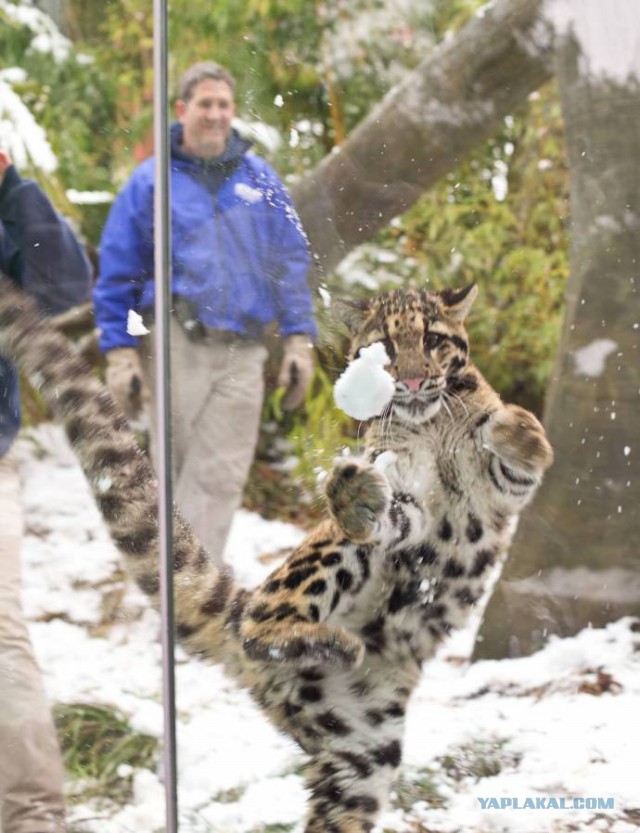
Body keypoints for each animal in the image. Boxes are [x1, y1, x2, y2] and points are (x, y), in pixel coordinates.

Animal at [0, 278, 552, 832]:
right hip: (323, 571)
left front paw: (514, 428)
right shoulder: (404, 487)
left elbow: (522, 453)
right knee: (263, 622)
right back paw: (331, 630)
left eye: (433, 339)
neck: (432, 426)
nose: (414, 381)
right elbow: (395, 510)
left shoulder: (501, 492)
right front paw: (361, 495)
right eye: (386, 346)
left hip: (361, 755)